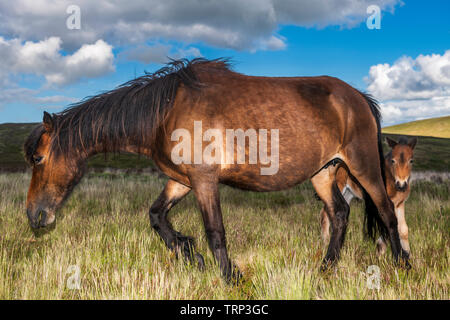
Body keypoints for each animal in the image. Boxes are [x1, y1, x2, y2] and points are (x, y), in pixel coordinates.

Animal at [24, 58, 412, 282]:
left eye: (38, 158)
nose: (34, 216)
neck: (164, 112)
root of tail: (359, 98)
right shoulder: (181, 180)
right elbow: (157, 216)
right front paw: (189, 254)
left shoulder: (204, 181)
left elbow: (215, 231)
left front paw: (231, 277)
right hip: (323, 172)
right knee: (340, 213)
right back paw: (325, 269)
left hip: (362, 166)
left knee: (386, 212)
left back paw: (403, 266)